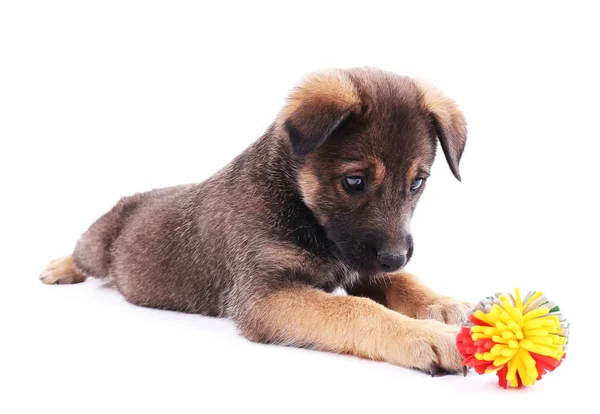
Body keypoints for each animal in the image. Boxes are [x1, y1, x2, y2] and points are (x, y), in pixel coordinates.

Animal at [41, 67, 474, 376]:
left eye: (417, 183)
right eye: (354, 181)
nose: (395, 257)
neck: (299, 206)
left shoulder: (359, 264)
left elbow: (404, 283)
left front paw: (444, 305)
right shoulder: (266, 296)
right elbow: (357, 310)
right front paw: (426, 335)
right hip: (97, 246)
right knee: (82, 252)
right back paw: (60, 267)